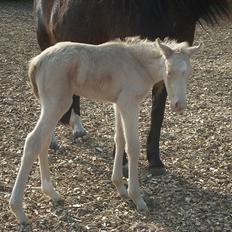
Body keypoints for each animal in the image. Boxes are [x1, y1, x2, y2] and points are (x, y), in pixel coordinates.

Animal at [34, 0, 230, 175]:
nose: (180, 105)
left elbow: (157, 114)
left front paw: (155, 162)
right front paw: (122, 162)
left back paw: (77, 127)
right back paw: (54, 139)